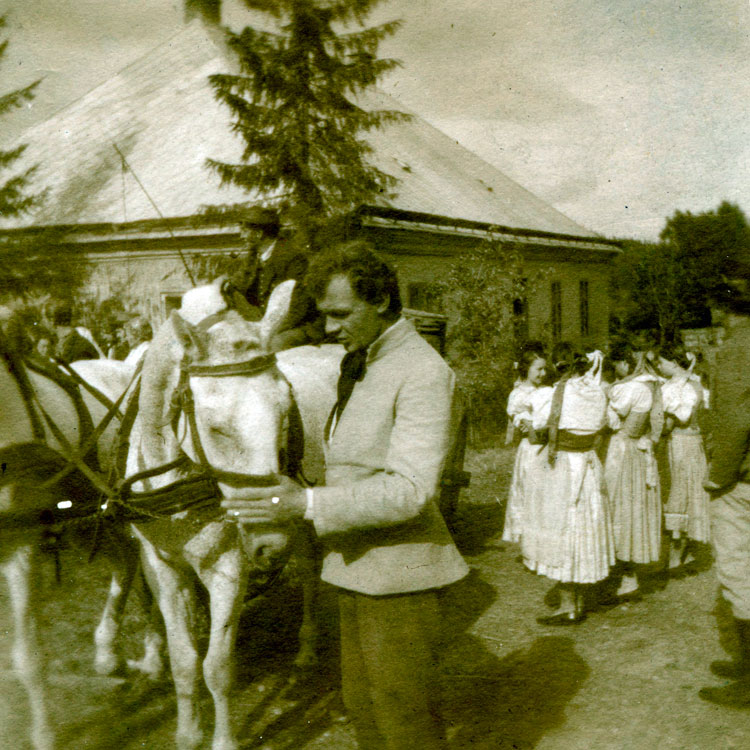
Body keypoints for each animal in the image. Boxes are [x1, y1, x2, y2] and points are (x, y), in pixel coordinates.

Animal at [125, 278, 341, 750]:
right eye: (216, 428)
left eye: (286, 414)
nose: (268, 544)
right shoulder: (161, 566)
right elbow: (184, 660)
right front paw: (188, 733)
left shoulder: (229, 566)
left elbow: (217, 667)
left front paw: (222, 739)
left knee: (311, 573)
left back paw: (306, 651)